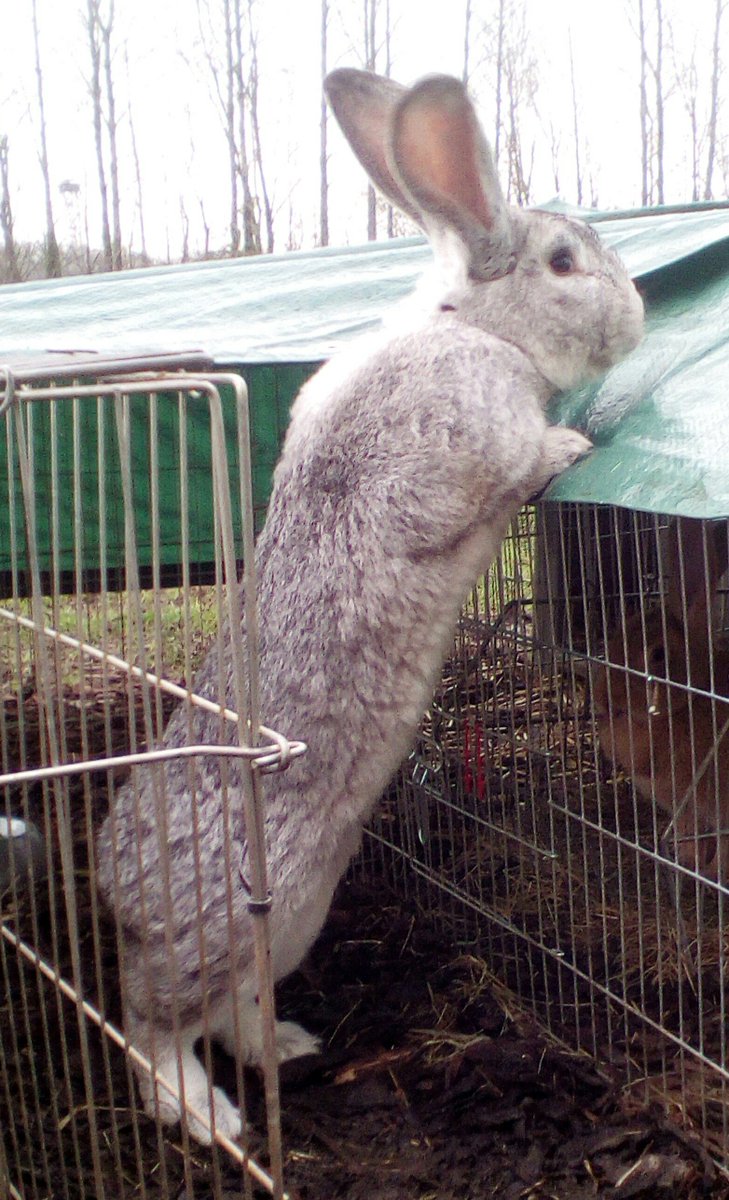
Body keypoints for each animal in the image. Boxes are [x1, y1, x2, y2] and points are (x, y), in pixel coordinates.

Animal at [95, 69, 644, 1144]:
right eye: (564, 262)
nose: (640, 317)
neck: (474, 326)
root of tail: (115, 895)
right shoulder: (445, 453)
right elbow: (495, 478)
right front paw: (569, 445)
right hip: (227, 917)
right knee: (155, 1027)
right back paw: (211, 1117)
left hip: (292, 920)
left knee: (233, 1008)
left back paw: (289, 1047)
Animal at [592, 518, 729, 881]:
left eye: (658, 654)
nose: (604, 698)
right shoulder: (685, 808)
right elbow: (690, 835)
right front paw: (688, 861)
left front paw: (711, 872)